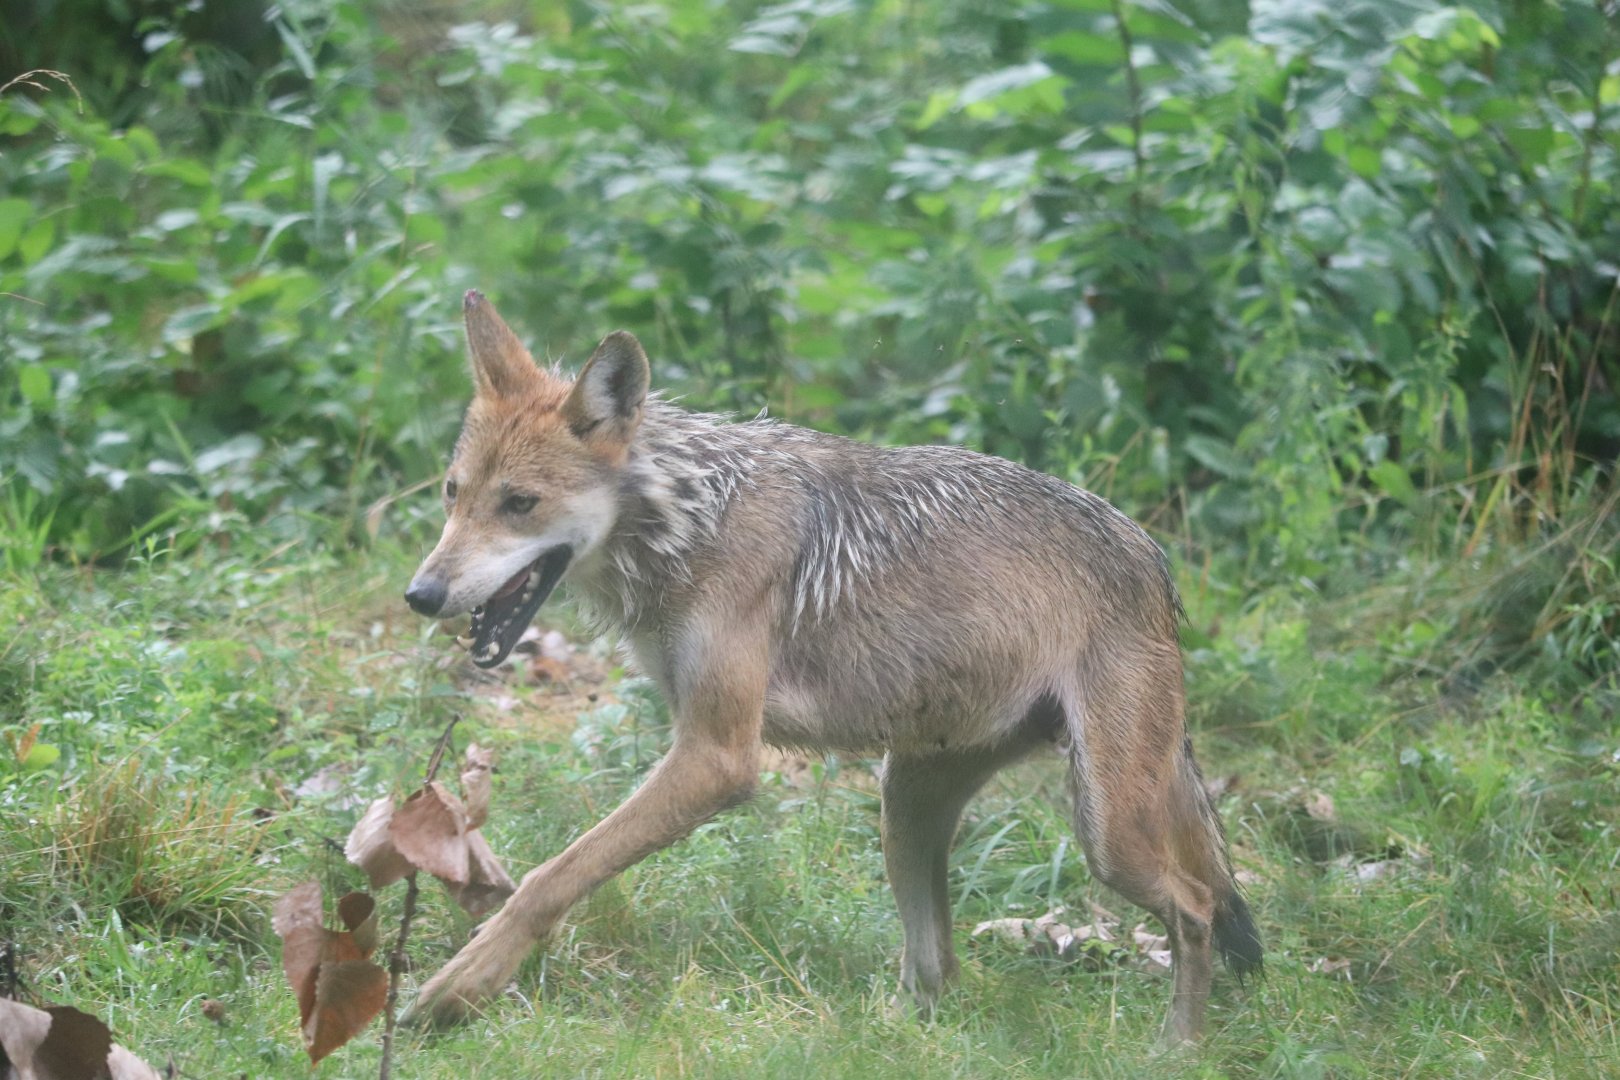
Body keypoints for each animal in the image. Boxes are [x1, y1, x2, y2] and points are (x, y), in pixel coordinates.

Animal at [400, 291, 1261, 1043]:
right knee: (940, 973)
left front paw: (458, 988)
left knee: (1196, 907)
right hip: (906, 804)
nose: (421, 593)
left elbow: (552, 876)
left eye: (519, 504)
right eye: (452, 494)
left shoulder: (718, 756)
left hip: (1105, 833)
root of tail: (1155, 559)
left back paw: (1179, 1048)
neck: (689, 522)